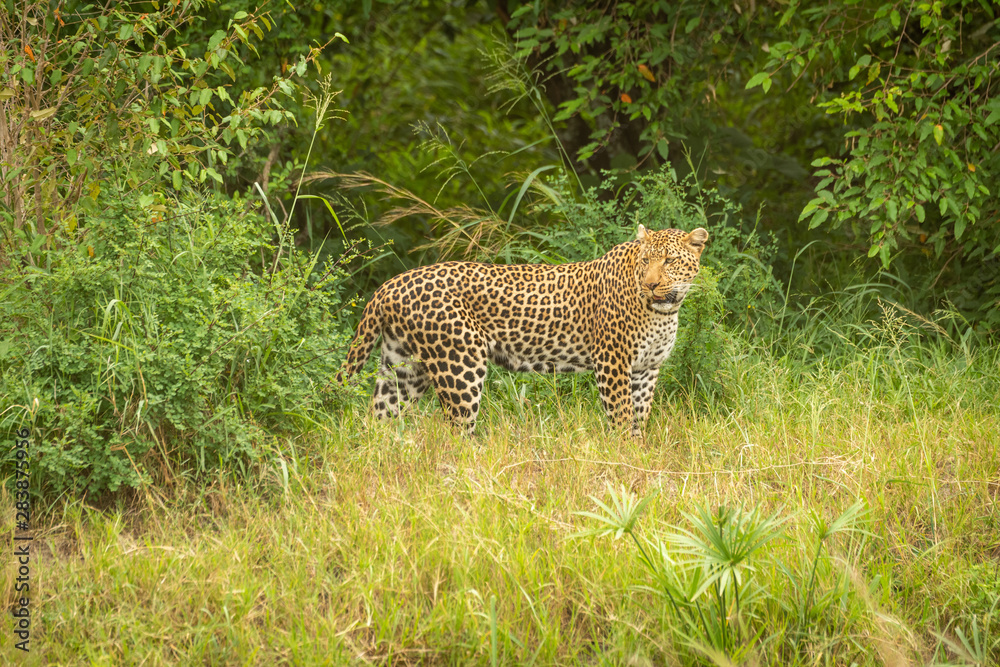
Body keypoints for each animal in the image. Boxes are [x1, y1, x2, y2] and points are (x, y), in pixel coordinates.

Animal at [337, 224, 709, 437]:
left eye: (670, 261)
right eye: (646, 261)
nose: (651, 285)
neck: (664, 311)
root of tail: (391, 284)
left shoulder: (647, 368)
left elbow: (639, 416)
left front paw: (637, 451)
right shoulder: (613, 363)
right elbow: (620, 415)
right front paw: (622, 457)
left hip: (403, 368)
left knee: (380, 417)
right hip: (461, 365)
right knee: (457, 431)